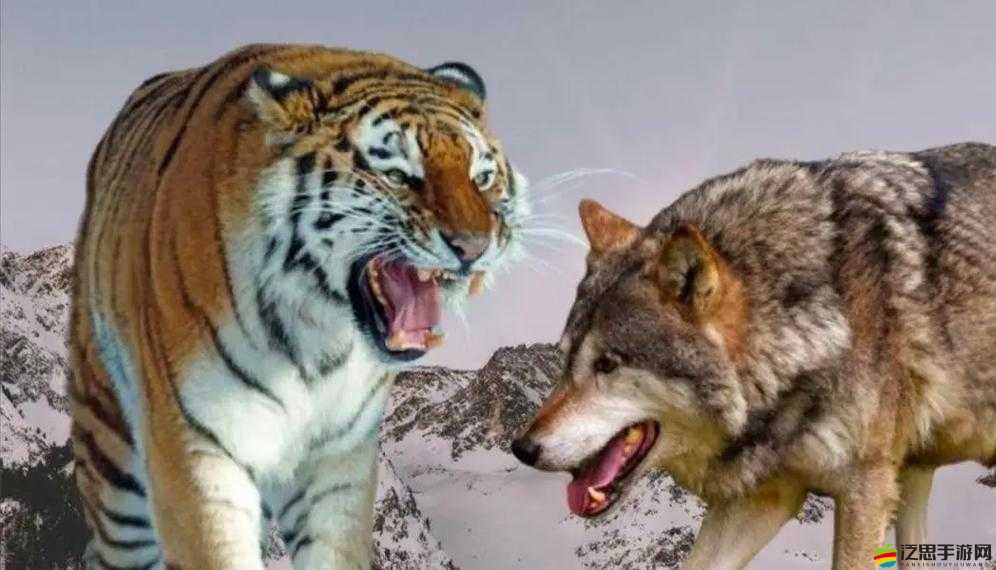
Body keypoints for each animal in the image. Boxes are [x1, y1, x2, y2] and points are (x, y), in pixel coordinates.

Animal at [68, 43, 529, 570]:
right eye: (397, 176)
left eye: (482, 178)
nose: (474, 246)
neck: (316, 333)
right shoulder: (196, 450)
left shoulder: (338, 461)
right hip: (111, 458)